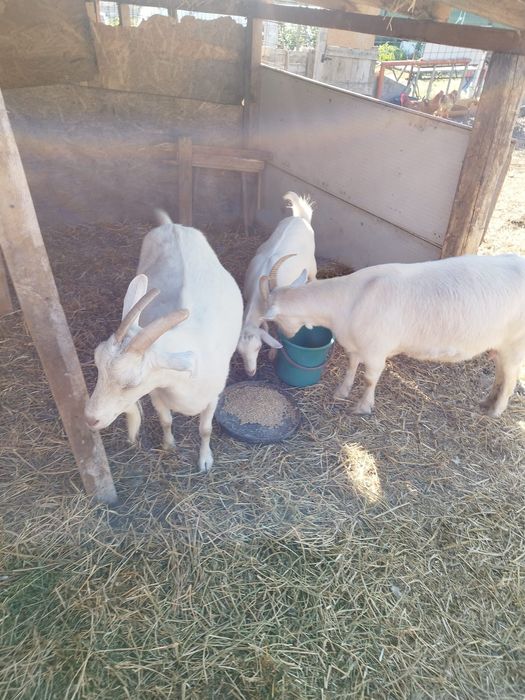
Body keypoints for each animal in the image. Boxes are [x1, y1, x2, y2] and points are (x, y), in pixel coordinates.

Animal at [85, 211, 243, 472]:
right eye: (97, 366)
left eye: (132, 383)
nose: (90, 419)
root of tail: (172, 226)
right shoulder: (157, 393)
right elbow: (166, 420)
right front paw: (169, 446)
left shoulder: (213, 397)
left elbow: (205, 429)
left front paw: (205, 461)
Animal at [237, 191, 317, 376]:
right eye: (239, 352)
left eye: (258, 347)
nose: (250, 373)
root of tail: (299, 218)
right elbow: (266, 326)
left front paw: (274, 353)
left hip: (312, 266)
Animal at [260, 254, 525, 417]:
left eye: (275, 319)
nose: (285, 335)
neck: (350, 298)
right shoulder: (356, 345)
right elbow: (351, 366)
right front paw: (341, 392)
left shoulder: (376, 351)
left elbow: (370, 378)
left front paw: (363, 407)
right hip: (501, 345)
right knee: (501, 372)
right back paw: (487, 402)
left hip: (515, 343)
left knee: (511, 377)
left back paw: (495, 411)